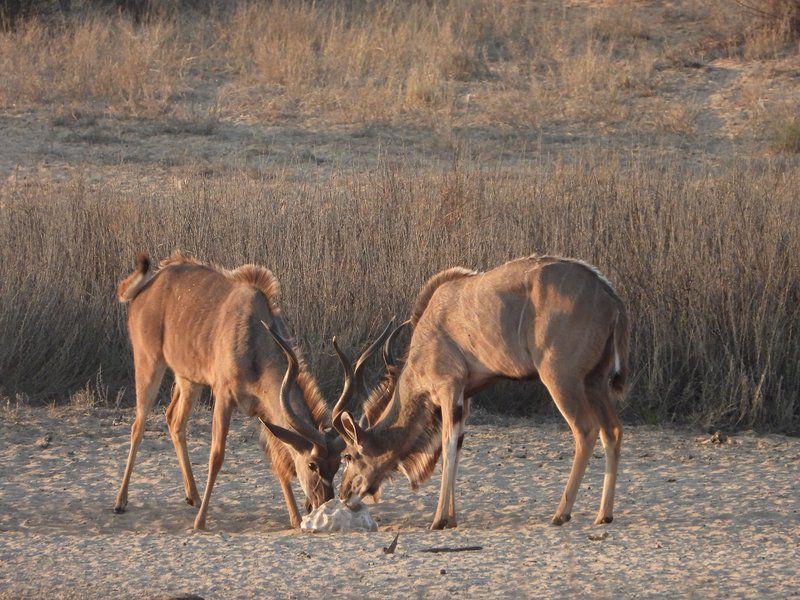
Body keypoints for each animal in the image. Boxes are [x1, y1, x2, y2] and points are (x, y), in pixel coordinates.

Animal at [115, 252, 390, 528]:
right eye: (312, 464)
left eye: (336, 465)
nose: (321, 503)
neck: (254, 337)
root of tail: (146, 286)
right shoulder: (224, 397)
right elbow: (217, 456)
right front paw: (200, 522)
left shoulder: (263, 411)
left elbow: (278, 461)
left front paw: (295, 519)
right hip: (149, 362)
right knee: (138, 425)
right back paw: (121, 501)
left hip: (188, 380)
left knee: (174, 420)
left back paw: (193, 496)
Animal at [334, 253, 628, 528]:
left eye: (347, 455)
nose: (343, 494)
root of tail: (611, 299)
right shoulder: (465, 396)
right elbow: (459, 445)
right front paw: (451, 519)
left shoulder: (449, 387)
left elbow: (448, 445)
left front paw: (438, 519)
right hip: (594, 382)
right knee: (612, 430)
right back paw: (604, 514)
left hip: (561, 379)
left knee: (586, 430)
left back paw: (561, 514)